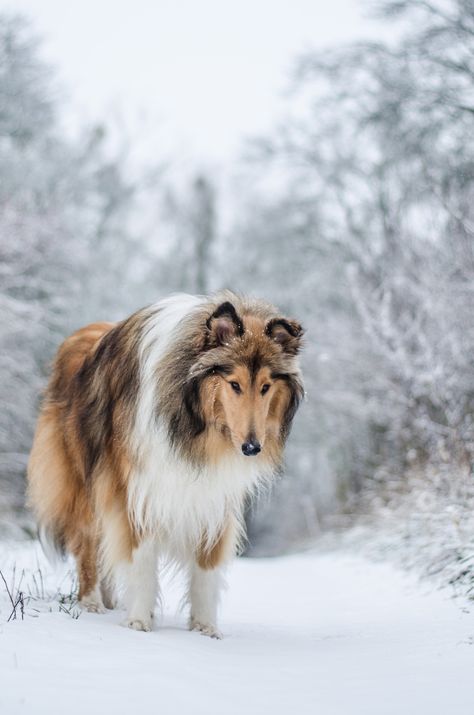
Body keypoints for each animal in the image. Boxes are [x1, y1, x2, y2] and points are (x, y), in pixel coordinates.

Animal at [26, 290, 304, 636]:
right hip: (85, 484)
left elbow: (206, 567)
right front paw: (139, 622)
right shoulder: (138, 489)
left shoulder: (216, 496)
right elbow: (141, 557)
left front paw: (205, 629)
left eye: (266, 386)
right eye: (234, 384)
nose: (251, 447)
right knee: (88, 544)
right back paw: (91, 604)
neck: (193, 428)